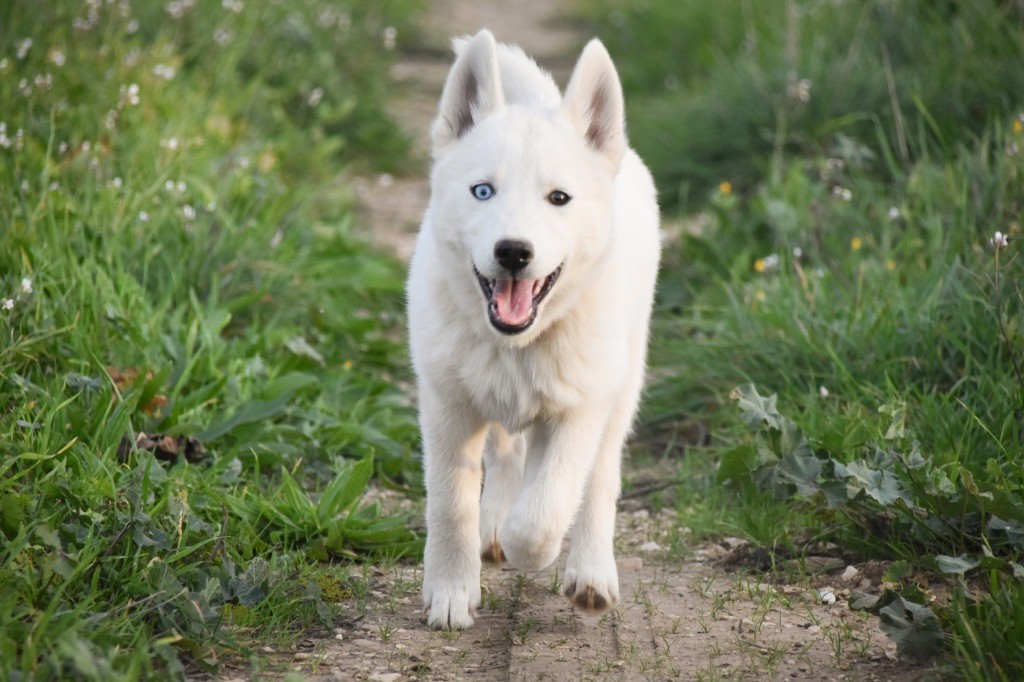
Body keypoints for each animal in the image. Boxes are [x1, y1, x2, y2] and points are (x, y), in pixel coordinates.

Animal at [403, 30, 659, 626]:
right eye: (482, 191)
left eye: (558, 198)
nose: (514, 252)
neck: (516, 345)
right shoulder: (447, 406)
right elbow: (450, 503)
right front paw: (450, 592)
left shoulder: (578, 409)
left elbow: (547, 508)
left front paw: (530, 550)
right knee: (506, 455)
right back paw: (494, 524)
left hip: (623, 382)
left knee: (598, 477)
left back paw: (590, 570)